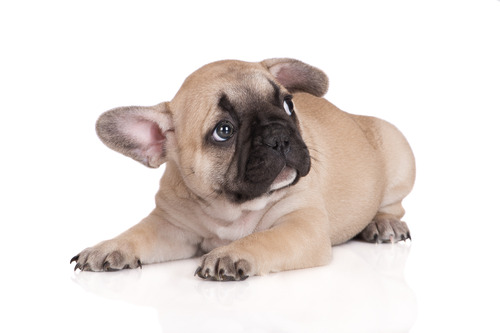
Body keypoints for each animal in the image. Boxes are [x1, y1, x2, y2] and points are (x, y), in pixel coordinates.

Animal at [70, 58, 414, 278]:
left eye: (289, 104)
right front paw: (109, 247)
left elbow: (262, 239)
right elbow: (137, 232)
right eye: (224, 131)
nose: (278, 136)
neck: (231, 208)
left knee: (393, 205)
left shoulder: (301, 226)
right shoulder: (171, 226)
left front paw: (231, 253)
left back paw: (383, 224)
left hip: (398, 155)